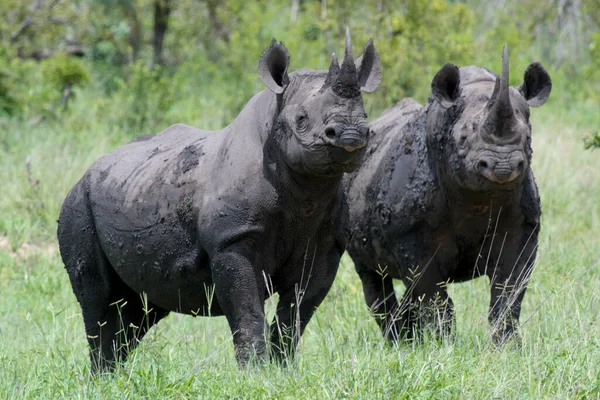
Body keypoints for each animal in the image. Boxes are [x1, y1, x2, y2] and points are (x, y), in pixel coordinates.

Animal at [59, 31, 380, 372]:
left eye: (366, 115)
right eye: (301, 119)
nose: (350, 134)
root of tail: (87, 171)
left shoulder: (325, 246)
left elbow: (297, 311)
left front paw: (283, 368)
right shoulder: (232, 240)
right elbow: (247, 308)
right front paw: (255, 372)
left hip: (129, 189)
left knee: (140, 308)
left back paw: (114, 374)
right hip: (79, 203)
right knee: (99, 301)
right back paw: (103, 374)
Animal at [346, 47, 548, 346]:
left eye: (527, 137)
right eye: (463, 138)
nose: (503, 166)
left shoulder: (522, 228)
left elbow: (508, 291)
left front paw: (507, 346)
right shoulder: (410, 236)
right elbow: (432, 294)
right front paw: (444, 344)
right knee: (371, 276)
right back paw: (399, 342)